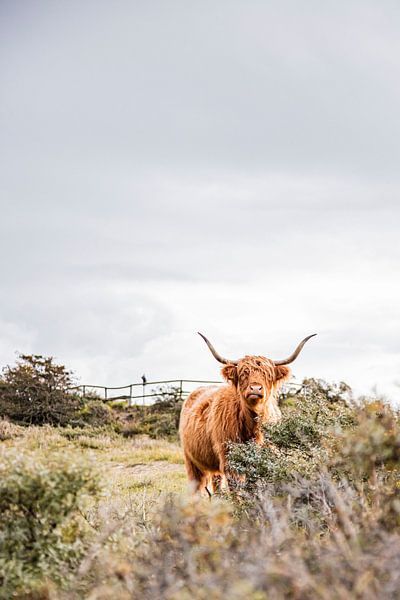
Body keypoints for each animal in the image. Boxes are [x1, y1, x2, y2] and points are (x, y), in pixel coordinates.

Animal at [180, 332, 318, 492]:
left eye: (268, 375)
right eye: (244, 374)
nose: (255, 388)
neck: (253, 426)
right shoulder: (230, 459)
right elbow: (238, 488)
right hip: (191, 461)